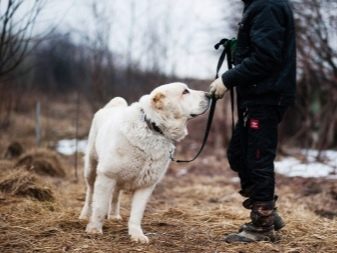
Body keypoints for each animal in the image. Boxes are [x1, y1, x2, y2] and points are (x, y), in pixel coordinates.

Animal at [79, 82, 209, 242]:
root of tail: (110, 107)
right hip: (91, 168)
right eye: (185, 92)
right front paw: (94, 229)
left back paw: (114, 215)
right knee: (90, 192)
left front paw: (137, 235)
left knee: (116, 193)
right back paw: (85, 215)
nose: (209, 95)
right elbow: (100, 207)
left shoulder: (147, 184)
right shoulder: (107, 175)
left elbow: (137, 214)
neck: (153, 128)